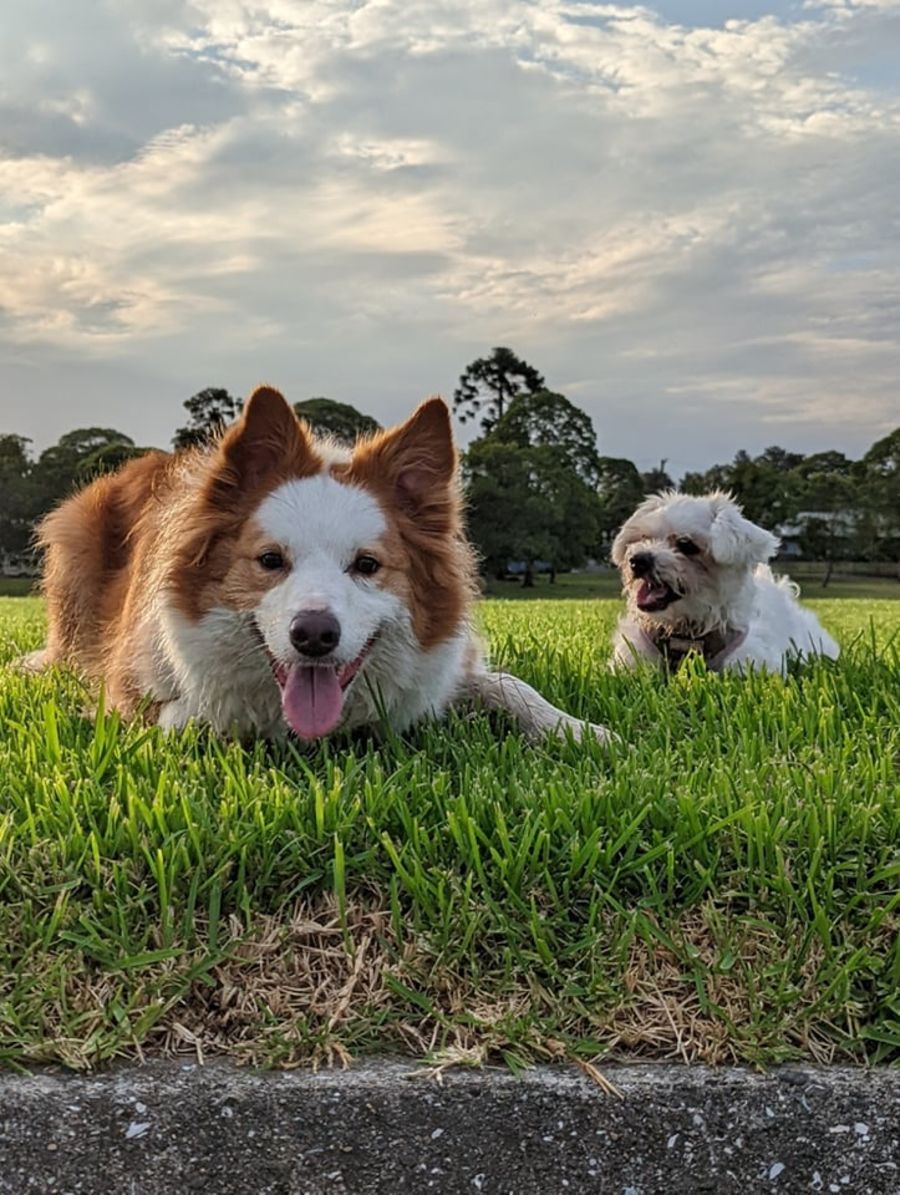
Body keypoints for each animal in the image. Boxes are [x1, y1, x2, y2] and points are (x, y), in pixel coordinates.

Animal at [24, 386, 612, 745]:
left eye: (368, 565)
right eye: (269, 560)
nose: (313, 635)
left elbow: (511, 684)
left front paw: (583, 732)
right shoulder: (130, 691)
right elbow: (191, 712)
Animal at [610, 490, 839, 673]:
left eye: (686, 544)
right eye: (643, 537)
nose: (637, 560)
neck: (683, 630)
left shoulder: (750, 661)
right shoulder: (634, 653)